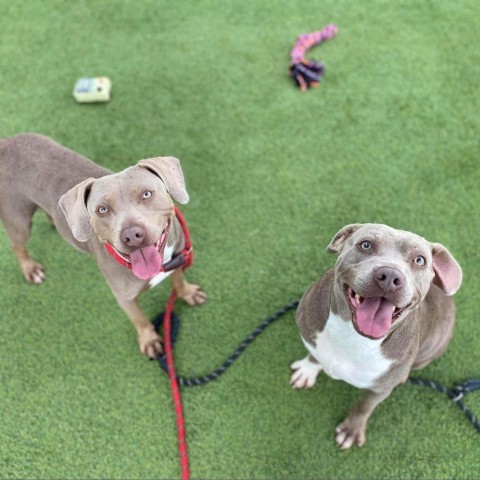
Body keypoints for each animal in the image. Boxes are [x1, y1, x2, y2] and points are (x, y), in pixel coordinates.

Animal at [0, 133, 204, 358]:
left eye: (146, 194)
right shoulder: (125, 298)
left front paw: (187, 292)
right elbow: (139, 319)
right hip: (18, 220)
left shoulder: (177, 259)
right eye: (102, 209)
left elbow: (178, 280)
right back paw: (30, 268)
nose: (132, 235)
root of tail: (6, 143)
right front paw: (149, 340)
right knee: (17, 246)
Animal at [290, 225, 464, 450]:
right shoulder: (312, 337)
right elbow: (314, 355)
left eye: (419, 260)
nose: (389, 275)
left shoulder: (380, 389)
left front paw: (351, 429)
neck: (353, 336)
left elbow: (364, 406)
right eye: (365, 245)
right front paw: (308, 369)